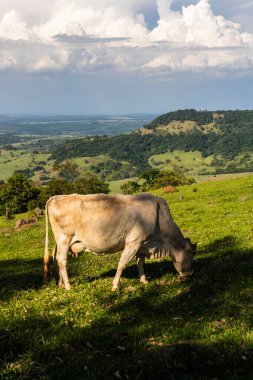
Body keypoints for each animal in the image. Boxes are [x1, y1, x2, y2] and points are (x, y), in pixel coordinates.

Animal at [43, 194, 196, 290]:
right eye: (191, 254)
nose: (190, 274)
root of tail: (56, 197)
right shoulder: (133, 242)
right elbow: (122, 264)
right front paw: (115, 285)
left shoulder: (142, 244)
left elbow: (140, 262)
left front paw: (144, 280)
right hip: (65, 239)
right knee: (62, 260)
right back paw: (68, 286)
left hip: (60, 242)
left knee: (55, 258)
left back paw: (60, 284)